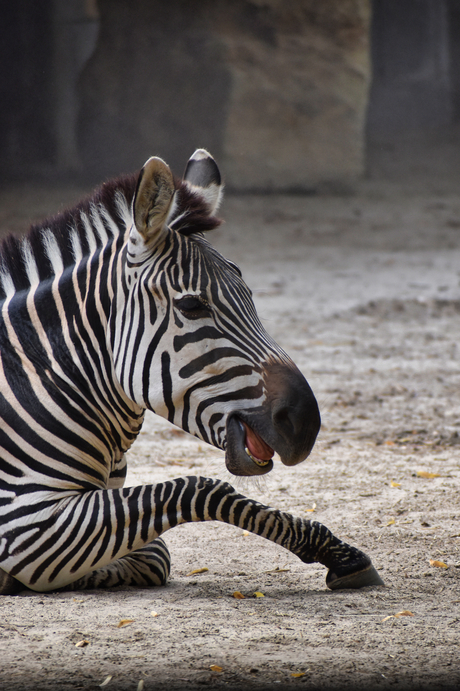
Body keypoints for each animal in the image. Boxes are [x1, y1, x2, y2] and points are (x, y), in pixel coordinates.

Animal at [0, 149, 383, 594]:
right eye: (192, 306)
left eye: (250, 297)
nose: (304, 423)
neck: (36, 382)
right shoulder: (28, 525)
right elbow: (200, 488)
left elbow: (157, 554)